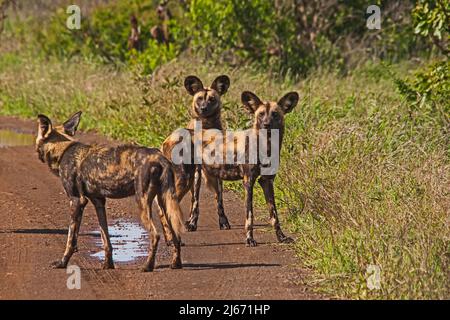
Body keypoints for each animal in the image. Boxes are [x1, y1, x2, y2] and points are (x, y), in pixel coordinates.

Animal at [161, 75, 232, 240]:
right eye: (200, 99)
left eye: (212, 99)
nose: (204, 108)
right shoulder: (197, 172)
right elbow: (195, 201)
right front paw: (192, 223)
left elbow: (219, 200)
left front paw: (223, 221)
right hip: (186, 178)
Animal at [165, 91, 298, 246]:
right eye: (261, 114)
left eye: (275, 114)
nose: (266, 124)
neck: (267, 145)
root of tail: (170, 137)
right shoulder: (248, 182)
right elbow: (249, 215)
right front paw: (249, 239)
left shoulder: (267, 181)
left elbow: (274, 216)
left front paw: (281, 238)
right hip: (184, 180)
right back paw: (172, 240)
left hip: (196, 177)